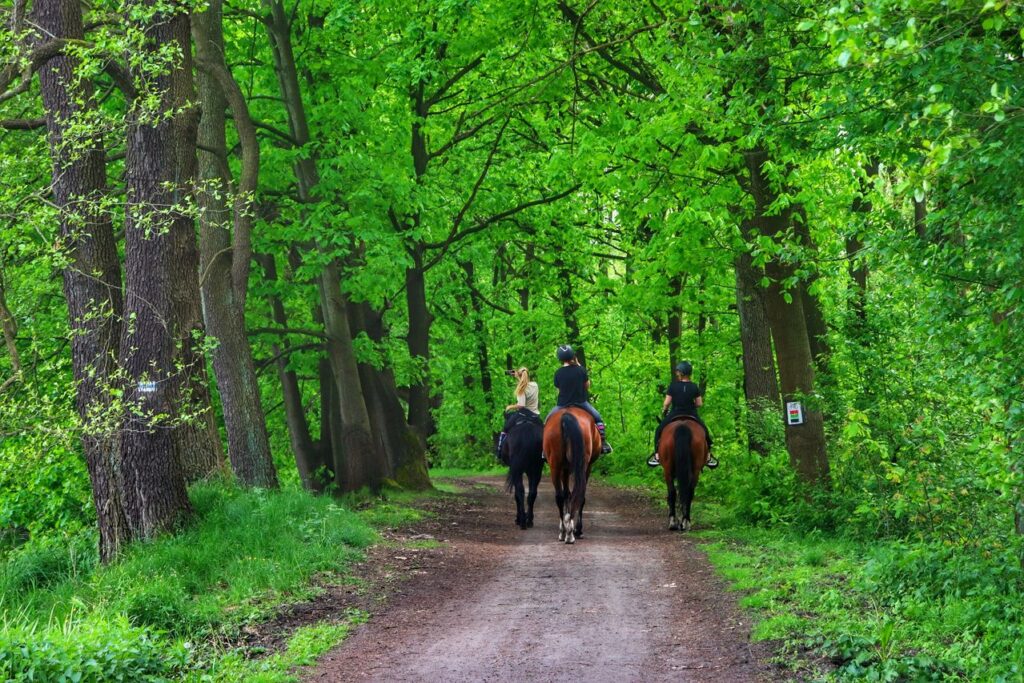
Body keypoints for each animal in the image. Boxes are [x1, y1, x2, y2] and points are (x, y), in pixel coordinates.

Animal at [544, 405, 598, 544]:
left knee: (560, 496)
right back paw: (569, 533)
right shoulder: (587, 466)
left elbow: (567, 494)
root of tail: (566, 415)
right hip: (580, 465)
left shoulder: (565, 468)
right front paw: (577, 529)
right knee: (576, 493)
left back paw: (565, 532)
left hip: (555, 465)